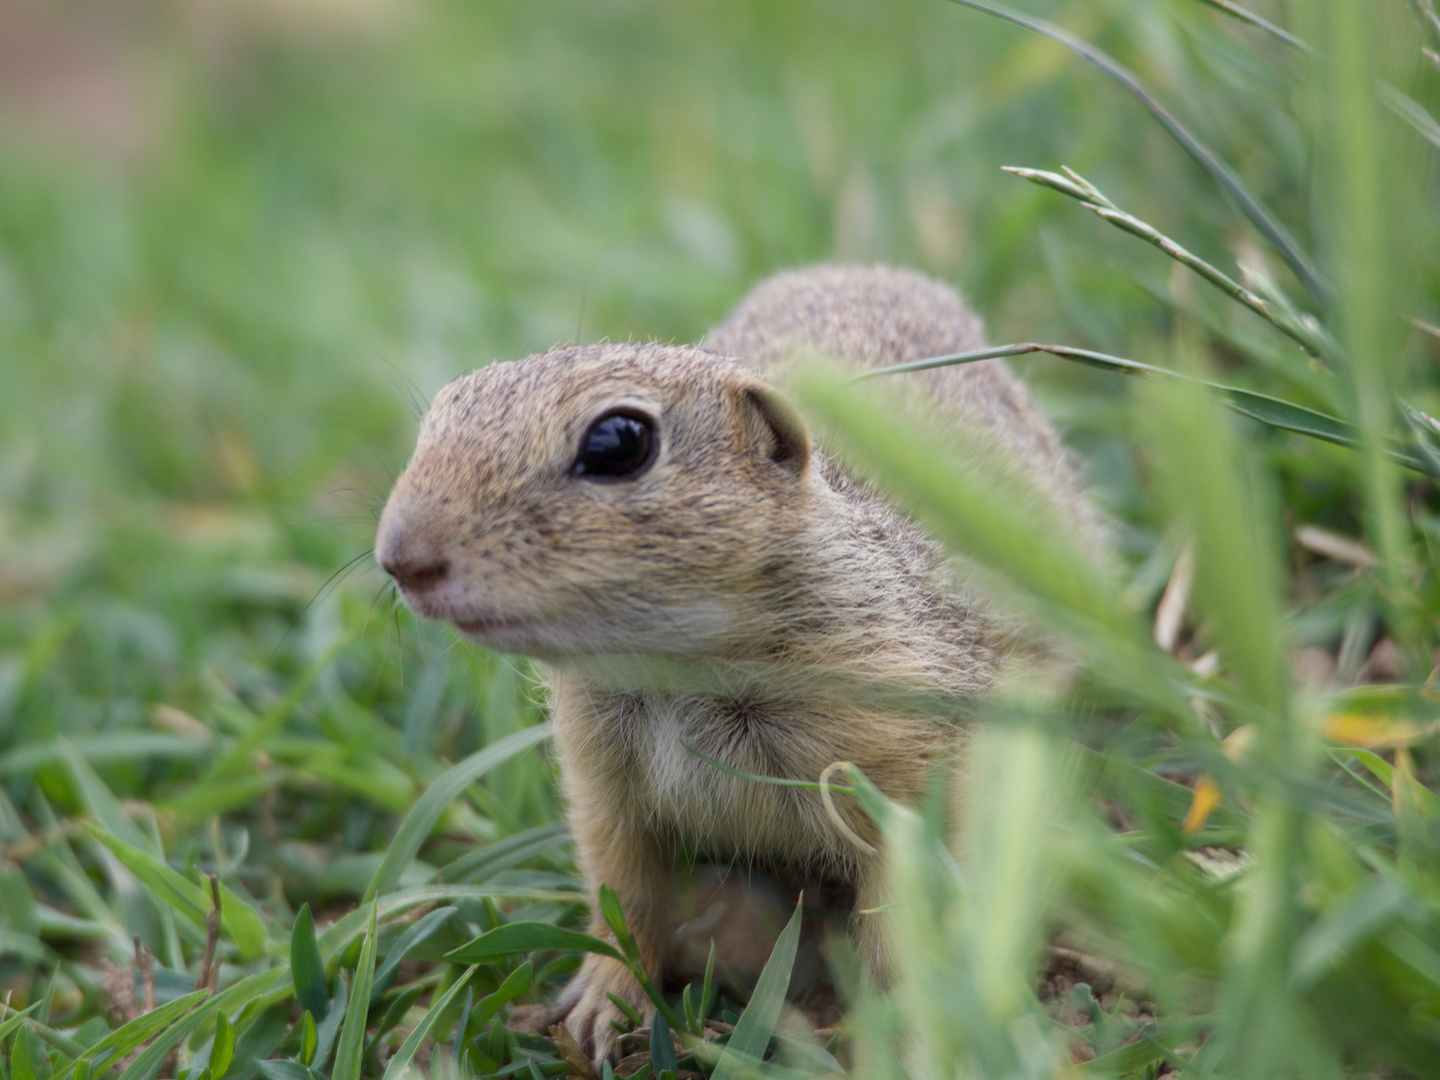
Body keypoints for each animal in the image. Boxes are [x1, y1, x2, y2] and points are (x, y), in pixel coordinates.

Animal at [371, 266, 1100, 1059]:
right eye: (443, 409)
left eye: (618, 442)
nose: (401, 558)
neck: (681, 674)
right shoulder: (602, 779)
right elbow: (624, 891)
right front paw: (603, 1004)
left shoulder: (917, 761)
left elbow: (904, 919)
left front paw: (903, 1031)